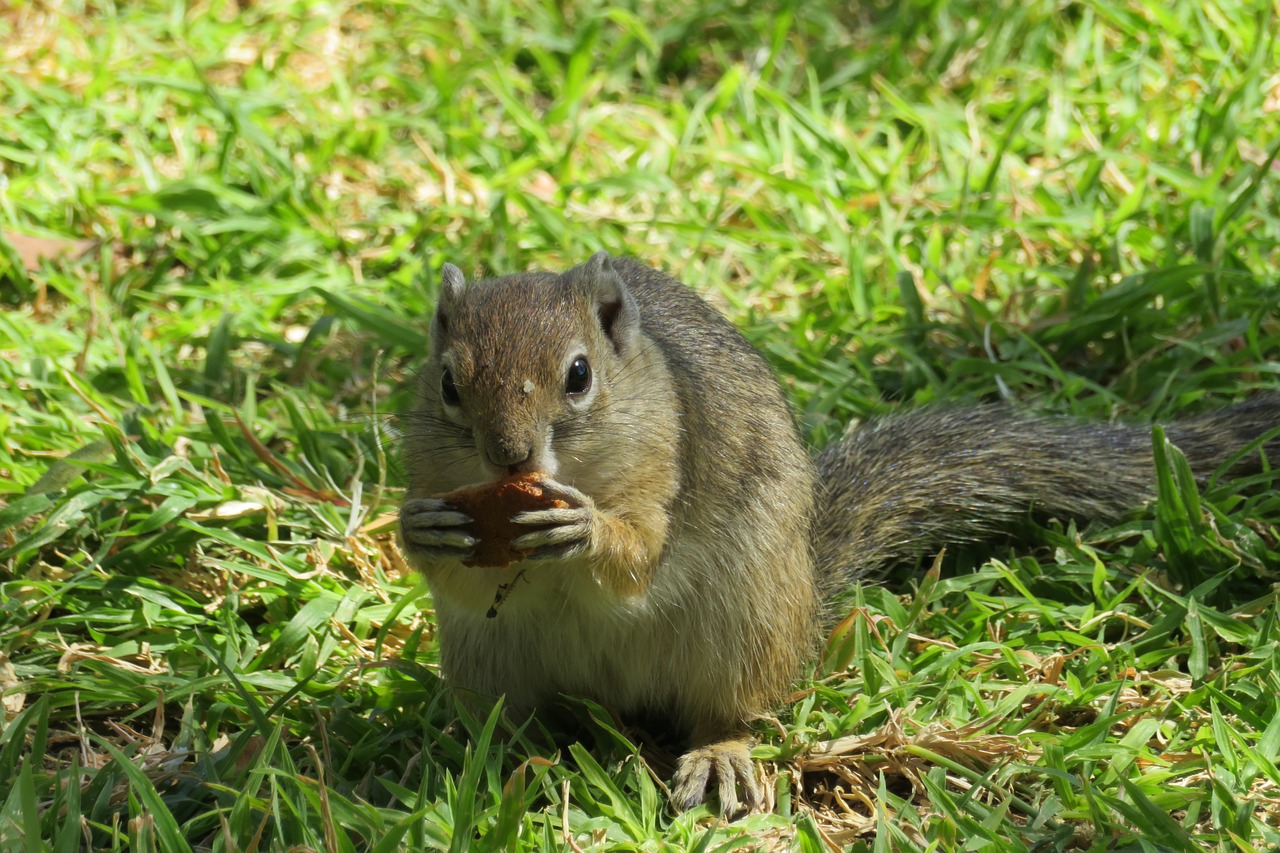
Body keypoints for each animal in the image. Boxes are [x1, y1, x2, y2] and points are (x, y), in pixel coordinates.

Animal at [396, 251, 1269, 809]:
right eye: (448, 382)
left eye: (579, 375)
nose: (510, 455)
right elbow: (451, 568)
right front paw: (423, 528)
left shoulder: (672, 459)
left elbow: (639, 555)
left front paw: (585, 528)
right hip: (488, 658)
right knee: (515, 717)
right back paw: (498, 761)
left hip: (741, 627)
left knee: (730, 712)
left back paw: (717, 757)